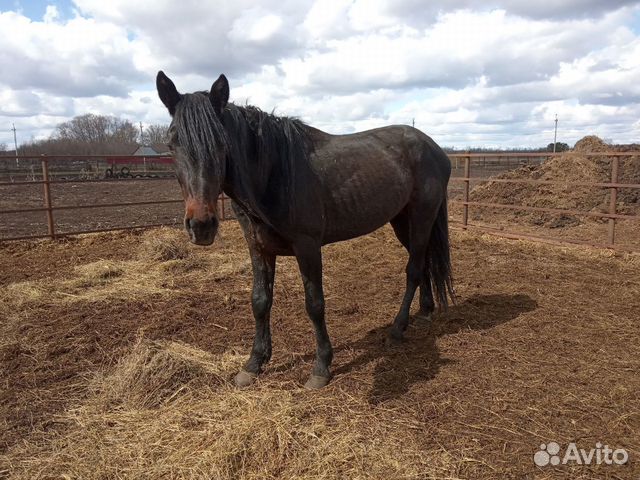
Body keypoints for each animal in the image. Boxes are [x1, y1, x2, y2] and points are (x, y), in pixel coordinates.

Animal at [157, 71, 452, 390]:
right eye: (172, 143)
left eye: (222, 143)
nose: (201, 226)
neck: (274, 174)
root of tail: (435, 149)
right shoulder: (257, 246)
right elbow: (260, 301)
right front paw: (254, 363)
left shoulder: (307, 246)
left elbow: (314, 304)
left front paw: (321, 367)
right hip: (401, 221)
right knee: (423, 262)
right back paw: (424, 312)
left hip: (422, 217)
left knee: (413, 269)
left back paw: (398, 329)